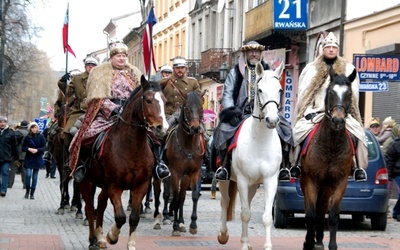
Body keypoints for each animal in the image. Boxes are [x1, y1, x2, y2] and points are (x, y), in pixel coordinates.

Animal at [79, 76, 169, 250]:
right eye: (148, 100)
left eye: (165, 101)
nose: (162, 128)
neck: (131, 147)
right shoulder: (115, 186)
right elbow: (120, 217)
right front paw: (112, 236)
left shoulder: (141, 186)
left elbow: (133, 217)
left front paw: (131, 244)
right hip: (86, 181)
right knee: (89, 208)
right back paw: (93, 239)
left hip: (104, 185)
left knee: (100, 203)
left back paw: (99, 238)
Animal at [152, 91, 205, 235]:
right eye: (186, 108)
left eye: (201, 108)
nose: (195, 128)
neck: (188, 145)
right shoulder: (175, 173)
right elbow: (174, 197)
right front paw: (175, 225)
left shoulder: (192, 173)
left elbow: (188, 196)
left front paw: (189, 224)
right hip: (160, 174)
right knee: (160, 193)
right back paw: (159, 218)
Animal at [217, 63, 286, 250]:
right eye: (260, 90)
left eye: (280, 89)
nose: (272, 120)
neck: (260, 140)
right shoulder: (241, 179)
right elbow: (245, 214)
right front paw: (243, 244)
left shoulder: (270, 179)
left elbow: (267, 216)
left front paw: (267, 246)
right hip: (225, 180)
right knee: (225, 202)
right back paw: (223, 235)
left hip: (254, 185)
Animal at [300, 68, 356, 250]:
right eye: (331, 92)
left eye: (349, 93)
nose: (337, 120)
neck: (331, 145)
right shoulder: (311, 180)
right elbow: (310, 214)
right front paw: (308, 243)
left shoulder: (340, 181)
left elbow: (333, 216)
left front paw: (332, 245)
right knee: (311, 210)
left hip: (326, 187)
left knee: (322, 209)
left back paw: (318, 240)